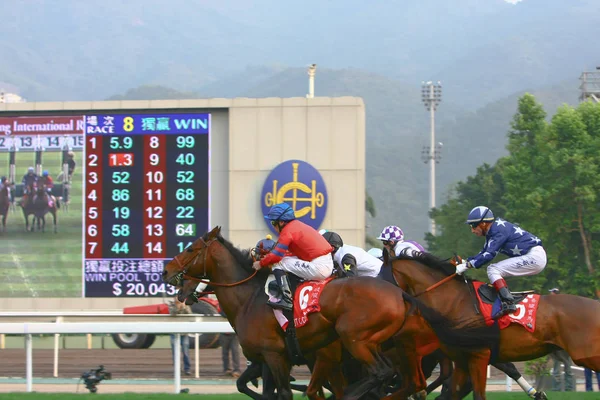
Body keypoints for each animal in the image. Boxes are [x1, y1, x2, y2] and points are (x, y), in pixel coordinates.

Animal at [162, 228, 494, 400]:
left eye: (190, 249)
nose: (166, 271)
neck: (250, 298)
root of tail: (402, 295)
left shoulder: (277, 356)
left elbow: (284, 392)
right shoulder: (271, 360)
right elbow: (253, 387)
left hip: (357, 340)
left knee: (392, 378)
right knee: (416, 383)